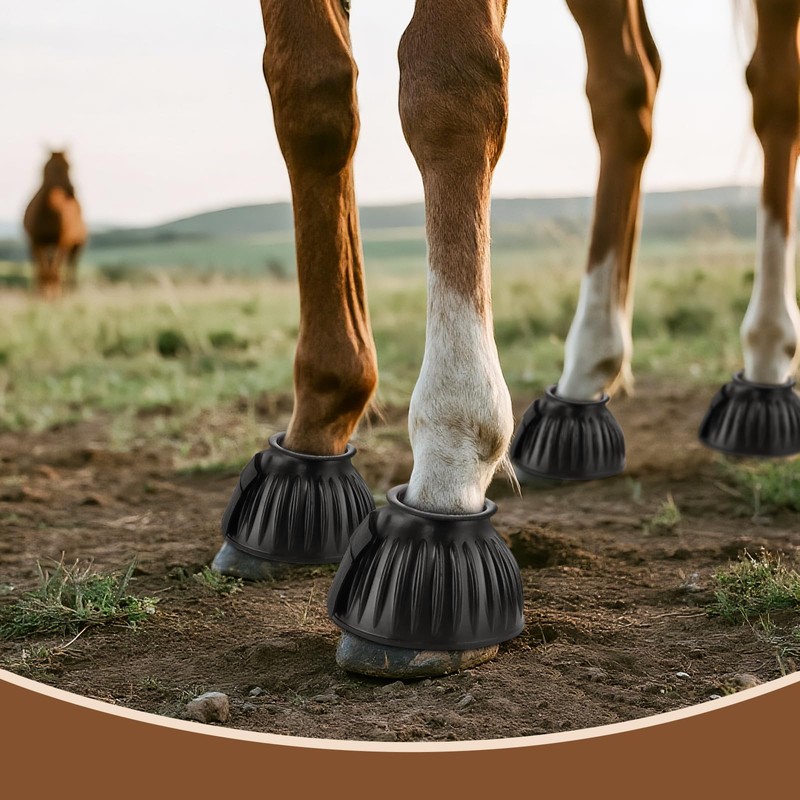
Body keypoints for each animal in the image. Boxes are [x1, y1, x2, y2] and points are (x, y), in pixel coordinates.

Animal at [23, 151, 87, 298]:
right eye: (51, 167)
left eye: (69, 166)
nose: (72, 191)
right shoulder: (36, 241)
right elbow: (43, 268)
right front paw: (43, 293)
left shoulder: (62, 241)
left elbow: (56, 268)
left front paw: (54, 293)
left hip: (76, 247)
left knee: (70, 267)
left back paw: (69, 290)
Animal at [211, 0, 800, 680]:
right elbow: (310, 97)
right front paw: (319, 421)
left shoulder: (452, 80)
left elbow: (449, 86)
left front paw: (452, 458)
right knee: (627, 90)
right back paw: (583, 381)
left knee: (774, 93)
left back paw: (766, 361)